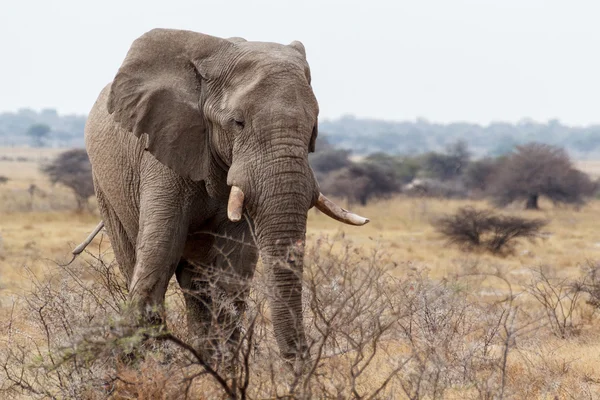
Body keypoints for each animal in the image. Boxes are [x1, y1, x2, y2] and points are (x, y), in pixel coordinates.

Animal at [82, 28, 368, 362]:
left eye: (313, 127)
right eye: (238, 122)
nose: (297, 366)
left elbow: (232, 274)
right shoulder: (163, 152)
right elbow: (159, 255)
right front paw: (147, 366)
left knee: (198, 287)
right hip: (104, 183)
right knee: (133, 257)